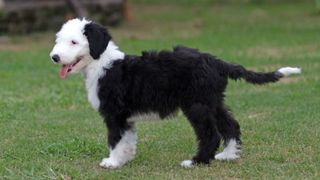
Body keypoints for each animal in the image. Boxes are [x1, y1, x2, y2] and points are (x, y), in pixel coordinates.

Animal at [49, 18, 300, 169]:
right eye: (60, 40)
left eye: (74, 42)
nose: (55, 57)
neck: (102, 63)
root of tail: (215, 61)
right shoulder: (125, 117)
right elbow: (127, 139)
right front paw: (124, 159)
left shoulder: (115, 114)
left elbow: (115, 138)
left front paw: (112, 162)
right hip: (213, 101)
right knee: (231, 125)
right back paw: (228, 155)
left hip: (197, 105)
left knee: (210, 134)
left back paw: (197, 161)